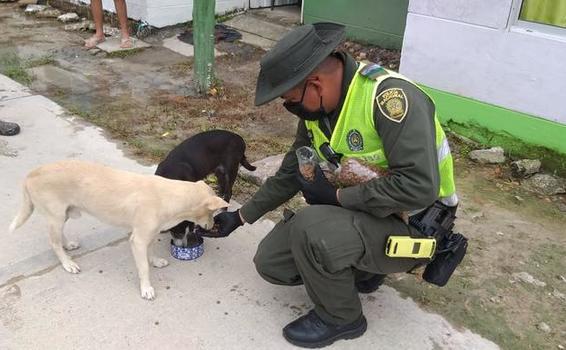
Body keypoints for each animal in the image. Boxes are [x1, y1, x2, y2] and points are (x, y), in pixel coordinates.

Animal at [7, 160, 227, 300]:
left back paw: (68, 245)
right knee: (53, 242)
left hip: (63, 215)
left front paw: (155, 260)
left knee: (59, 236)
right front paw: (146, 288)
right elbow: (143, 268)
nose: (211, 226)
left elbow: (151, 252)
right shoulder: (138, 240)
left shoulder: (150, 235)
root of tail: (31, 174)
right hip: (56, 216)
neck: (169, 196)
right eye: (212, 213)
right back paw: (67, 263)